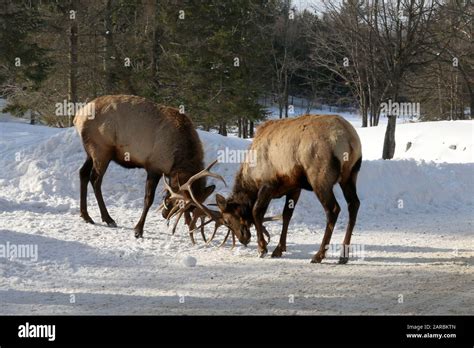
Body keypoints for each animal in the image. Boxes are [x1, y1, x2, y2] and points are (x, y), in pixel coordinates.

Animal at [72, 94, 224, 238]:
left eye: (190, 208)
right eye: (178, 203)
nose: (165, 213)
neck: (177, 160)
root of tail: (77, 117)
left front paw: (188, 225)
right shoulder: (153, 167)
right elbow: (148, 199)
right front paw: (138, 230)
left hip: (90, 152)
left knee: (82, 173)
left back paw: (86, 215)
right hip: (102, 150)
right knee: (95, 179)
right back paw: (108, 218)